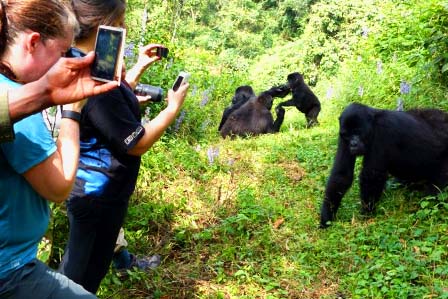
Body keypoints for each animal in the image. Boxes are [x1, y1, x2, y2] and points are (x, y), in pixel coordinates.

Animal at [320, 102, 448, 229]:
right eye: (347, 135)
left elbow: (372, 175)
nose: (353, 144)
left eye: (357, 132)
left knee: (434, 193)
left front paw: (366, 216)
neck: (373, 122)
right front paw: (326, 217)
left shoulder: (383, 130)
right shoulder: (342, 136)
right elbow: (341, 174)